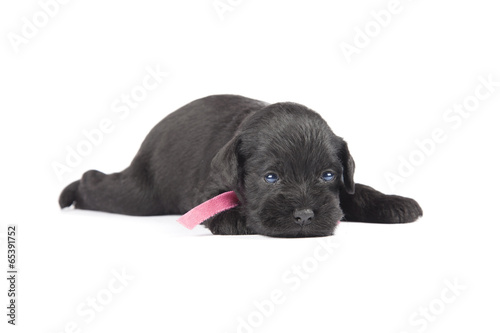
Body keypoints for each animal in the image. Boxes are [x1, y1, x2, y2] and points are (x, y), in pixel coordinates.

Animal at [60, 94, 424, 237]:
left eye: (328, 175)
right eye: (271, 177)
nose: (305, 216)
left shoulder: (340, 187)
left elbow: (355, 191)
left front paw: (393, 203)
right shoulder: (207, 188)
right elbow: (214, 205)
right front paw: (236, 217)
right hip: (140, 193)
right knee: (98, 186)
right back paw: (72, 193)